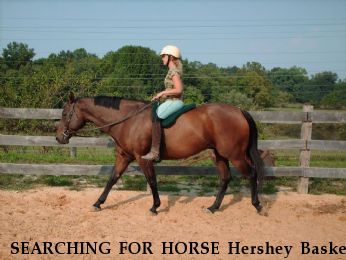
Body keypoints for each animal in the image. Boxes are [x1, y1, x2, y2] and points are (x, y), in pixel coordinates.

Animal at [54, 92, 264, 214]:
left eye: (64, 114)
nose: (58, 137)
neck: (128, 120)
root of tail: (239, 110)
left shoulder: (142, 158)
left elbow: (152, 180)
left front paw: (155, 206)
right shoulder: (124, 157)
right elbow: (112, 179)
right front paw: (98, 203)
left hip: (235, 155)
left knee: (252, 173)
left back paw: (257, 205)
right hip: (219, 155)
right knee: (225, 178)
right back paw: (213, 207)